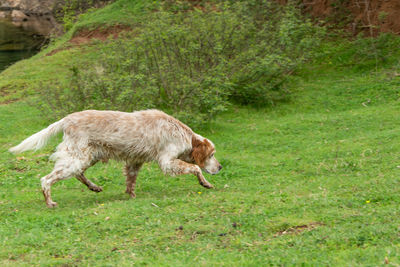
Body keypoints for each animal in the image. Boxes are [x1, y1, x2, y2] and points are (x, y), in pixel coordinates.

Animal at [9, 110, 222, 208]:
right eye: (212, 155)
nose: (220, 167)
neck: (183, 134)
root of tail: (67, 119)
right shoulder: (168, 162)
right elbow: (196, 168)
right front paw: (205, 183)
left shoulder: (135, 161)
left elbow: (131, 180)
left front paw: (131, 195)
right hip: (77, 158)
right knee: (46, 180)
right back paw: (50, 202)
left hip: (88, 156)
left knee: (78, 174)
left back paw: (94, 187)